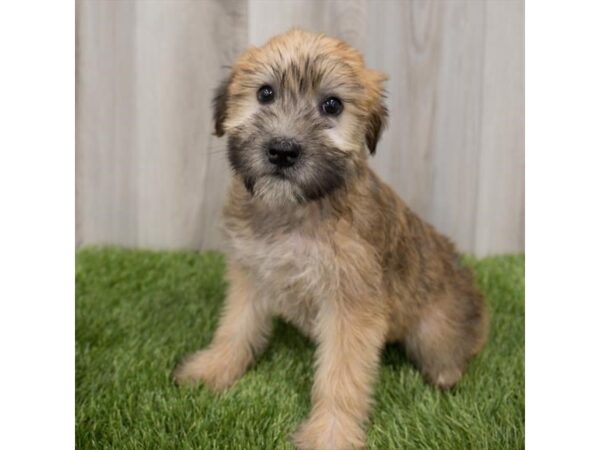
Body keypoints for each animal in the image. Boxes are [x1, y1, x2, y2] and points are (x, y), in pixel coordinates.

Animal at [172, 29, 488, 450]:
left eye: (332, 105)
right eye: (265, 94)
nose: (282, 151)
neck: (294, 210)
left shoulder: (350, 306)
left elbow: (341, 376)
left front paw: (330, 433)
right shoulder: (251, 274)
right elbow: (235, 328)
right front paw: (214, 367)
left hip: (436, 328)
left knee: (454, 347)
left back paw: (447, 372)